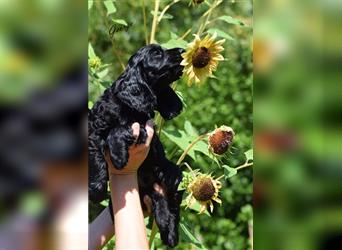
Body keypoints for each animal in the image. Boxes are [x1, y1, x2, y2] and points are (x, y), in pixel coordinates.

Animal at [88, 44, 184, 246]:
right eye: (156, 53)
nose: (181, 50)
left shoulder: (142, 128)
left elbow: (117, 130)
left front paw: (118, 156)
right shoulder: (94, 129)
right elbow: (96, 156)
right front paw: (96, 190)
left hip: (174, 178)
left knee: (172, 202)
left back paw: (171, 233)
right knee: (160, 202)